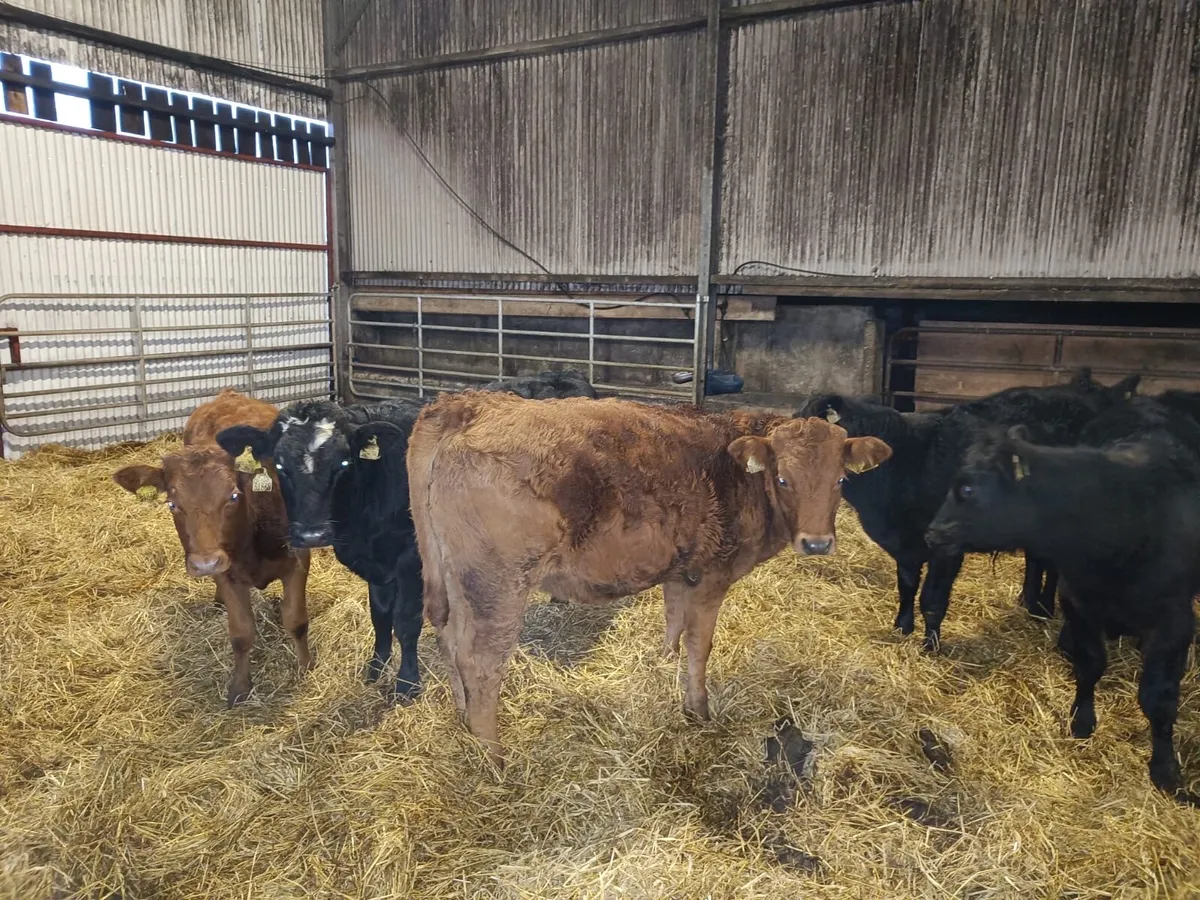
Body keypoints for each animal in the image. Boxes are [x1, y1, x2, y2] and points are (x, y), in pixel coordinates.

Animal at [112, 389, 313, 706]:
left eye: (233, 496)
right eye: (172, 504)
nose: (205, 563)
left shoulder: (298, 559)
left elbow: (296, 620)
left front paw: (306, 668)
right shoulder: (227, 571)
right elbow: (241, 633)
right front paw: (240, 687)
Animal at [212, 369, 599, 702]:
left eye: (343, 463)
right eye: (279, 466)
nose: (311, 534)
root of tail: (567, 375)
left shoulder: (411, 560)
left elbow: (406, 622)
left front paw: (407, 683)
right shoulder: (375, 564)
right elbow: (380, 616)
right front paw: (376, 667)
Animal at [407, 392, 893, 762]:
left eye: (841, 481)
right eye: (783, 478)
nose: (817, 543)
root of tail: (469, 404)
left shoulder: (681, 569)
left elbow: (673, 621)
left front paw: (661, 663)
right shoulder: (713, 574)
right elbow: (699, 646)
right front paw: (698, 710)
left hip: (449, 576)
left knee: (447, 635)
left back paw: (462, 721)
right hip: (497, 584)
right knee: (480, 662)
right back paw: (493, 758)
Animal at [799, 370, 1139, 650]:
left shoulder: (945, 546)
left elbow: (932, 599)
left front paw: (930, 647)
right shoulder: (905, 545)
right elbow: (906, 586)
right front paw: (902, 628)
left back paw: (1044, 608)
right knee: (1036, 558)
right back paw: (1029, 601)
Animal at [925, 417, 1200, 804]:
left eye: (967, 488)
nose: (932, 534)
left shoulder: (1174, 621)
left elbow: (1158, 698)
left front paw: (1166, 771)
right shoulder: (1078, 602)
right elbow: (1089, 665)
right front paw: (1081, 722)